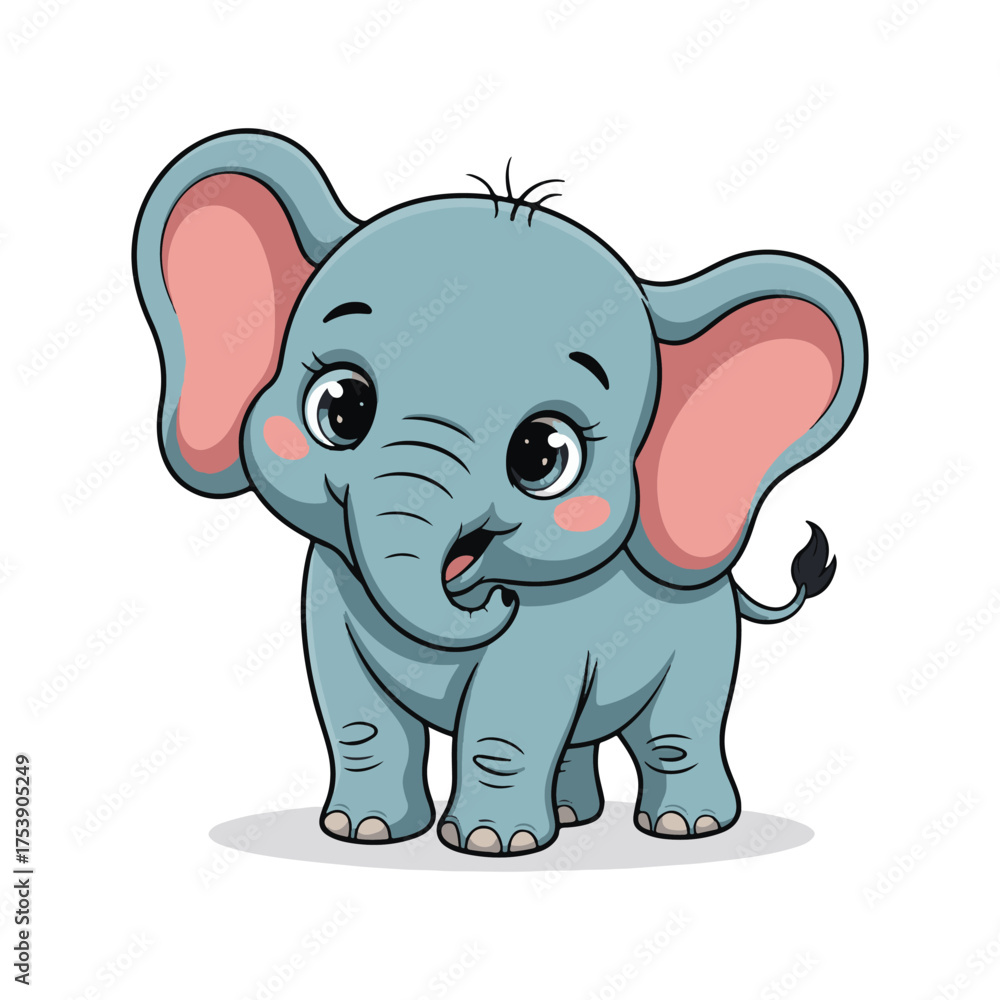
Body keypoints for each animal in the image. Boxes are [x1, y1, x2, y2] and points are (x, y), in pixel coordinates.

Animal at [133, 130, 866, 856]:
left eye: (542, 454)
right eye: (341, 407)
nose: (497, 599)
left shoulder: (555, 625)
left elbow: (511, 713)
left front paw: (489, 845)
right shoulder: (329, 587)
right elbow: (356, 715)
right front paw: (364, 832)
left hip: (704, 636)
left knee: (675, 732)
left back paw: (688, 828)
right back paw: (574, 817)